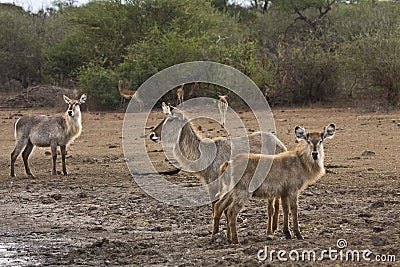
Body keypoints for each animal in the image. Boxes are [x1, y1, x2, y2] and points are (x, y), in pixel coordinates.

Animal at [148, 103, 286, 223]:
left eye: (170, 119)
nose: (152, 135)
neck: (205, 152)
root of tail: (279, 143)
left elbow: (218, 208)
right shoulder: (211, 184)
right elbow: (216, 207)